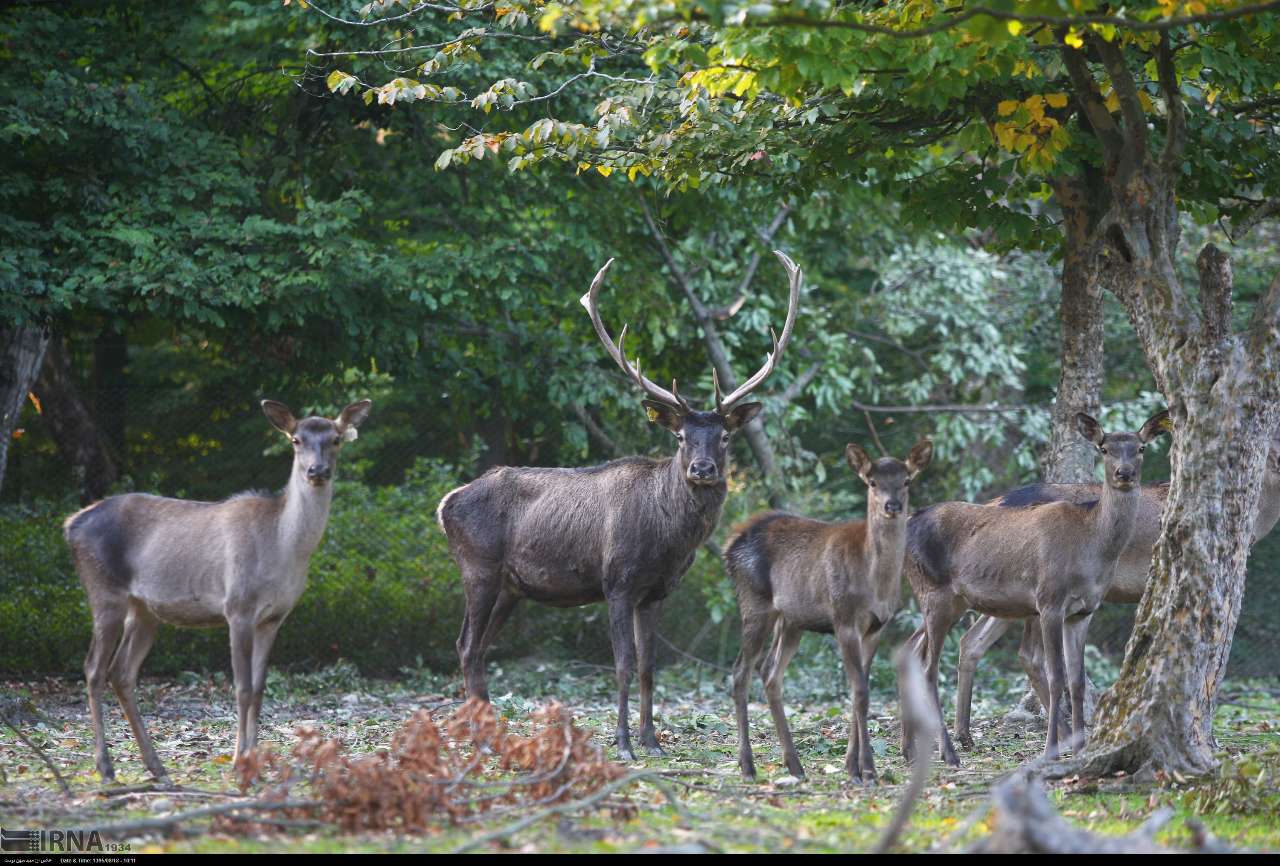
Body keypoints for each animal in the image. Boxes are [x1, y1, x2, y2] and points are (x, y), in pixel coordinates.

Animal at [64, 401, 371, 777]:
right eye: (296, 440)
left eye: (336, 439)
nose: (318, 470)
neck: (284, 550)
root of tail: (70, 525)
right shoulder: (238, 606)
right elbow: (242, 688)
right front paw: (239, 761)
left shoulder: (274, 617)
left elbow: (259, 689)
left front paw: (254, 760)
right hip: (104, 592)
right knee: (93, 669)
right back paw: (106, 766)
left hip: (144, 609)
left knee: (121, 671)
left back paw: (156, 765)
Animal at [440, 249, 798, 757]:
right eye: (680, 436)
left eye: (726, 436)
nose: (702, 469)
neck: (668, 540)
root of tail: (445, 504)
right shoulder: (617, 582)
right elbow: (624, 663)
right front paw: (624, 741)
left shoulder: (658, 590)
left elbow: (649, 665)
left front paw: (652, 740)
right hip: (478, 568)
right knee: (467, 645)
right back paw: (482, 741)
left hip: (511, 586)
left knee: (479, 647)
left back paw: (491, 734)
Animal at [727, 434, 936, 777]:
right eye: (872, 482)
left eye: (906, 480)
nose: (892, 505)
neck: (874, 583)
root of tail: (730, 544)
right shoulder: (843, 618)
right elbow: (861, 692)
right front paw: (868, 770)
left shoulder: (877, 626)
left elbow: (859, 689)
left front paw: (852, 766)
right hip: (754, 602)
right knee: (740, 672)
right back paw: (747, 765)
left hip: (791, 620)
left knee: (770, 672)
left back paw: (794, 764)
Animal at [901, 409, 1172, 762]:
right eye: (1104, 449)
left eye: (1140, 448)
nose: (1124, 474)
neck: (1092, 546)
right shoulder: (1050, 602)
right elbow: (1057, 676)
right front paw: (1050, 751)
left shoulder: (1083, 611)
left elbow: (1076, 680)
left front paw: (1080, 747)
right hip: (937, 595)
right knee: (931, 668)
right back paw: (948, 752)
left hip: (963, 601)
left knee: (932, 648)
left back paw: (919, 746)